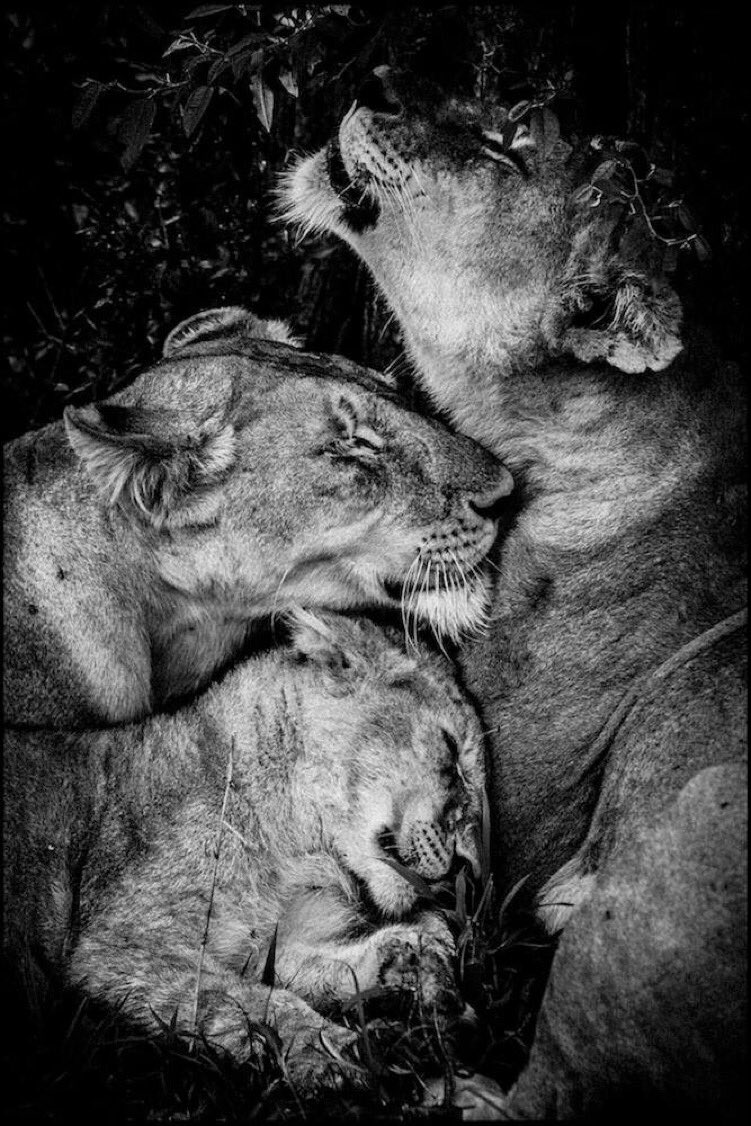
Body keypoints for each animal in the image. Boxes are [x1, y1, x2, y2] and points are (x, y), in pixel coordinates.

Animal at [3, 609, 485, 1093]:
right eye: (451, 751)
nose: (471, 866)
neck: (304, 845)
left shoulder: (256, 942)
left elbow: (294, 970)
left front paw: (413, 960)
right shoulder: (116, 946)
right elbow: (243, 1001)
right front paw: (351, 1054)